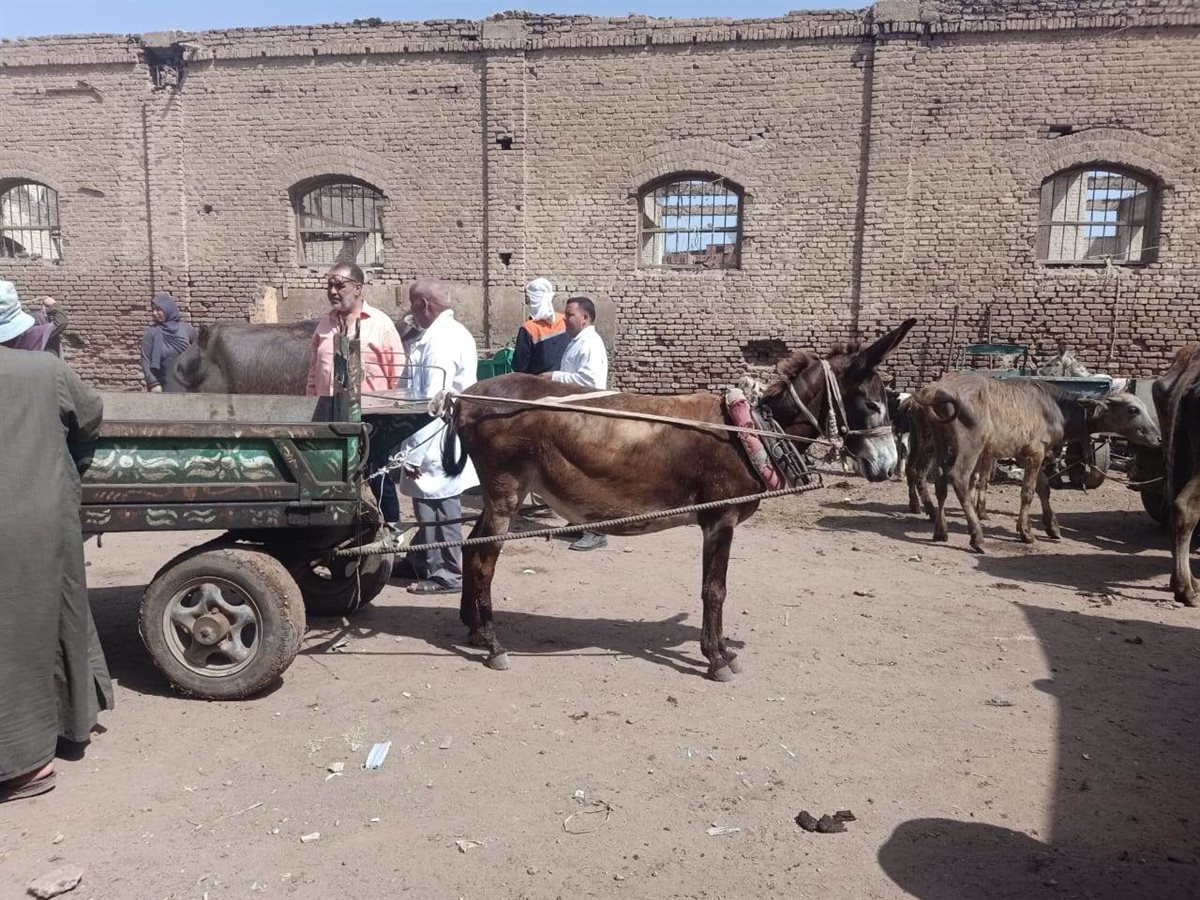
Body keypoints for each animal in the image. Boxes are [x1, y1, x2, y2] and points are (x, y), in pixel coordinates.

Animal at [439, 319, 917, 681]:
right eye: (873, 405)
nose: (889, 465)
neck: (755, 429)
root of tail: (465, 398)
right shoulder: (720, 519)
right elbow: (715, 589)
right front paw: (717, 658)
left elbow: (716, 588)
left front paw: (723, 650)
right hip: (507, 490)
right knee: (484, 560)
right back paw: (494, 645)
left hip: (502, 494)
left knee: (471, 545)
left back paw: (473, 630)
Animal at [907, 373, 1160, 553]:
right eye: (1133, 409)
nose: (1158, 438)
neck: (1055, 408)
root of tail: (936, 391)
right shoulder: (1035, 453)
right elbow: (1028, 492)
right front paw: (1025, 532)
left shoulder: (1027, 454)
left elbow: (1044, 488)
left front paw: (1052, 527)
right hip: (970, 445)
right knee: (958, 479)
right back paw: (977, 536)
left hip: (940, 442)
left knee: (939, 480)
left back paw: (941, 530)